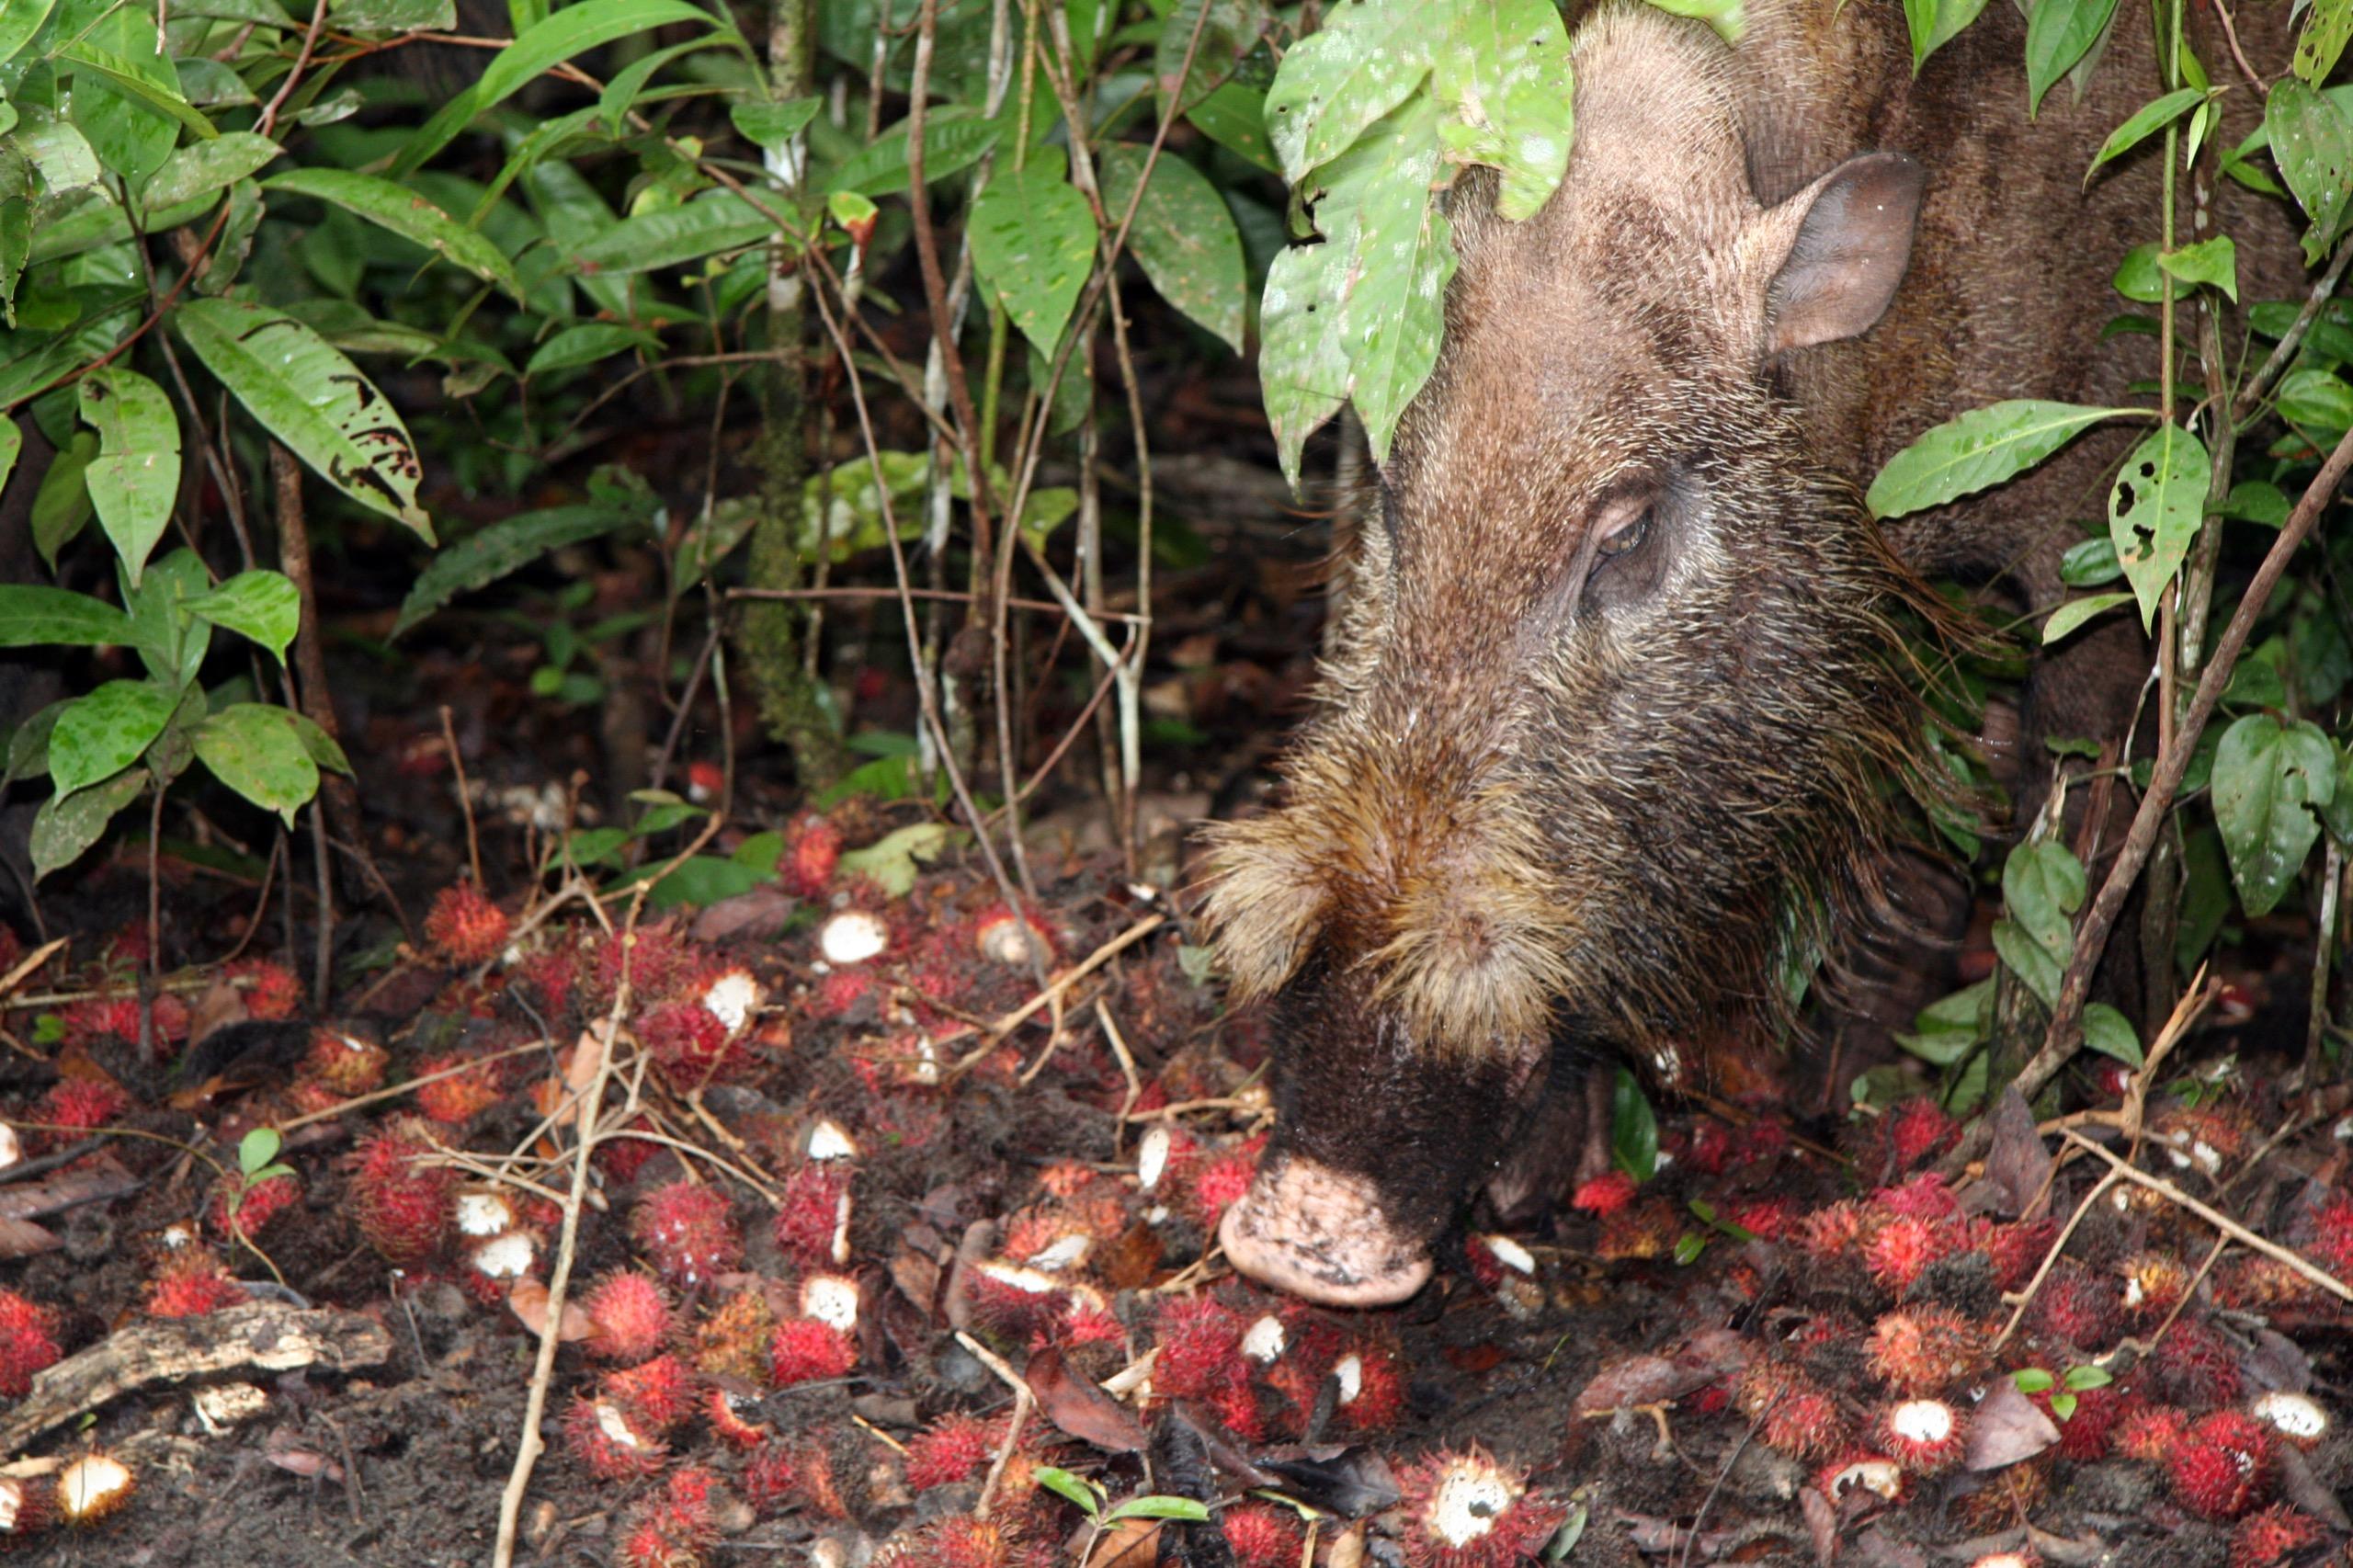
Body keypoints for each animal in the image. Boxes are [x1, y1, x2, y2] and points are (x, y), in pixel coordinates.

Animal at [1203, 0, 2295, 1305]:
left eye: (1624, 532)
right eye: (1389, 490)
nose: (1300, 1228)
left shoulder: (2098, 522)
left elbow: (2069, 834)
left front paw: (1990, 1121)